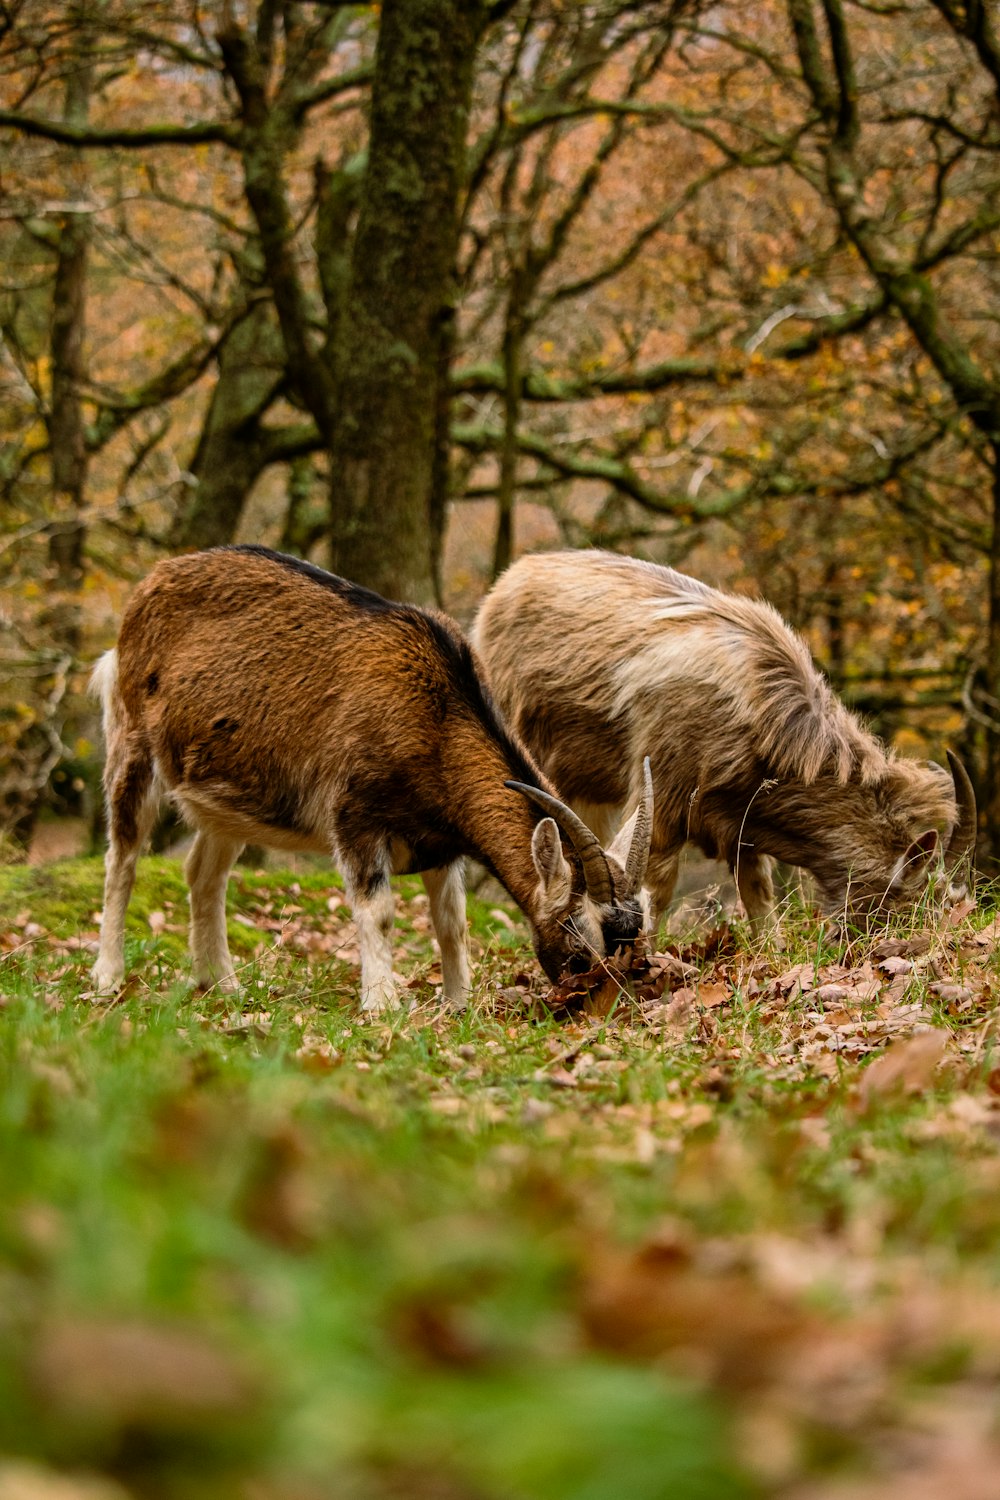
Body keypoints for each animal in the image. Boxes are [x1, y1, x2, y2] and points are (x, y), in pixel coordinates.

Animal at [91, 549, 656, 1008]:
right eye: (581, 943)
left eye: (635, 942)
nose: (597, 1008)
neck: (437, 716)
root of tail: (152, 582)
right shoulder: (355, 815)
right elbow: (379, 910)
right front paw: (382, 1004)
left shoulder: (439, 842)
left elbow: (452, 921)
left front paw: (459, 1002)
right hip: (131, 741)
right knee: (122, 859)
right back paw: (107, 978)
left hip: (227, 797)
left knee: (203, 874)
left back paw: (223, 985)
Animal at [470, 546, 977, 930]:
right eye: (903, 902)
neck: (763, 710)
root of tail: (507, 584)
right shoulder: (665, 799)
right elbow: (656, 888)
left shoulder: (741, 823)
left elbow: (757, 894)